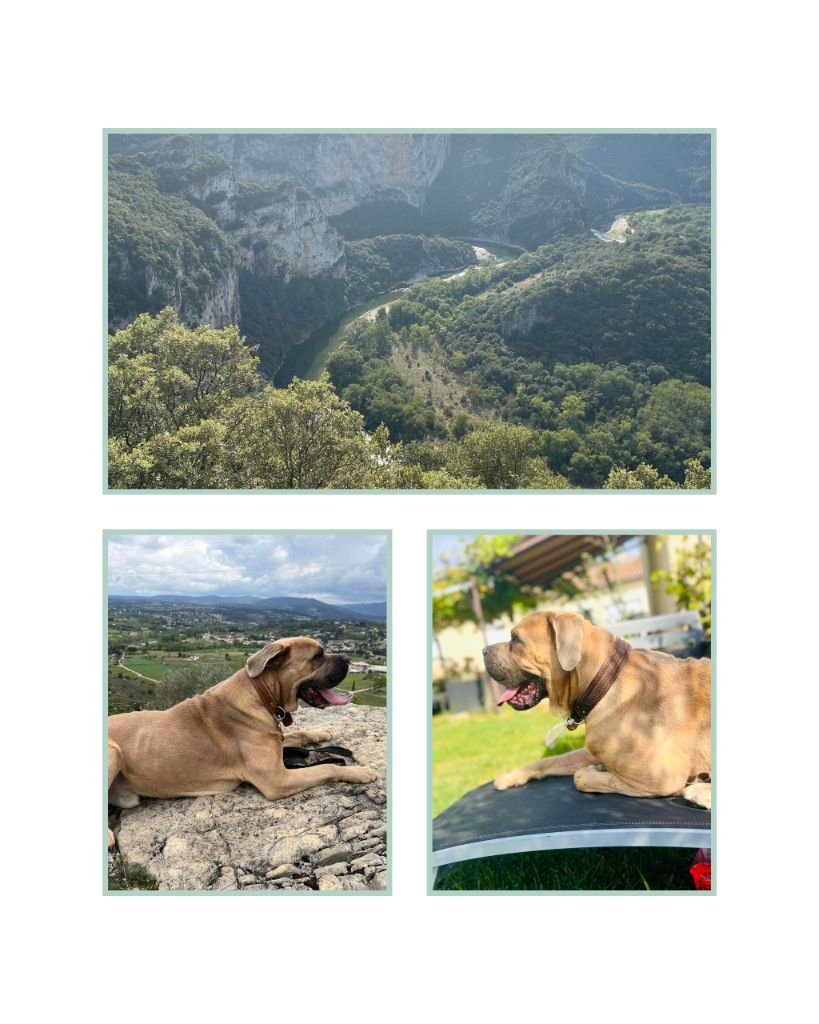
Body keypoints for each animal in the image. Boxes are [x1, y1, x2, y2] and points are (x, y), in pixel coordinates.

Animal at [106, 634, 376, 843]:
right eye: (318, 656)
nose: (348, 660)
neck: (262, 693)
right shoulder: (277, 780)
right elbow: (327, 767)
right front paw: (358, 771)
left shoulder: (275, 742)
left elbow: (297, 734)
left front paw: (320, 732)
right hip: (113, 752)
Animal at [483, 610, 708, 811]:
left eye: (515, 639)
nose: (483, 651)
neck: (604, 681)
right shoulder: (591, 750)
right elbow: (550, 760)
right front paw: (511, 776)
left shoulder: (661, 778)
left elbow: (580, 777)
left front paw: (595, 770)